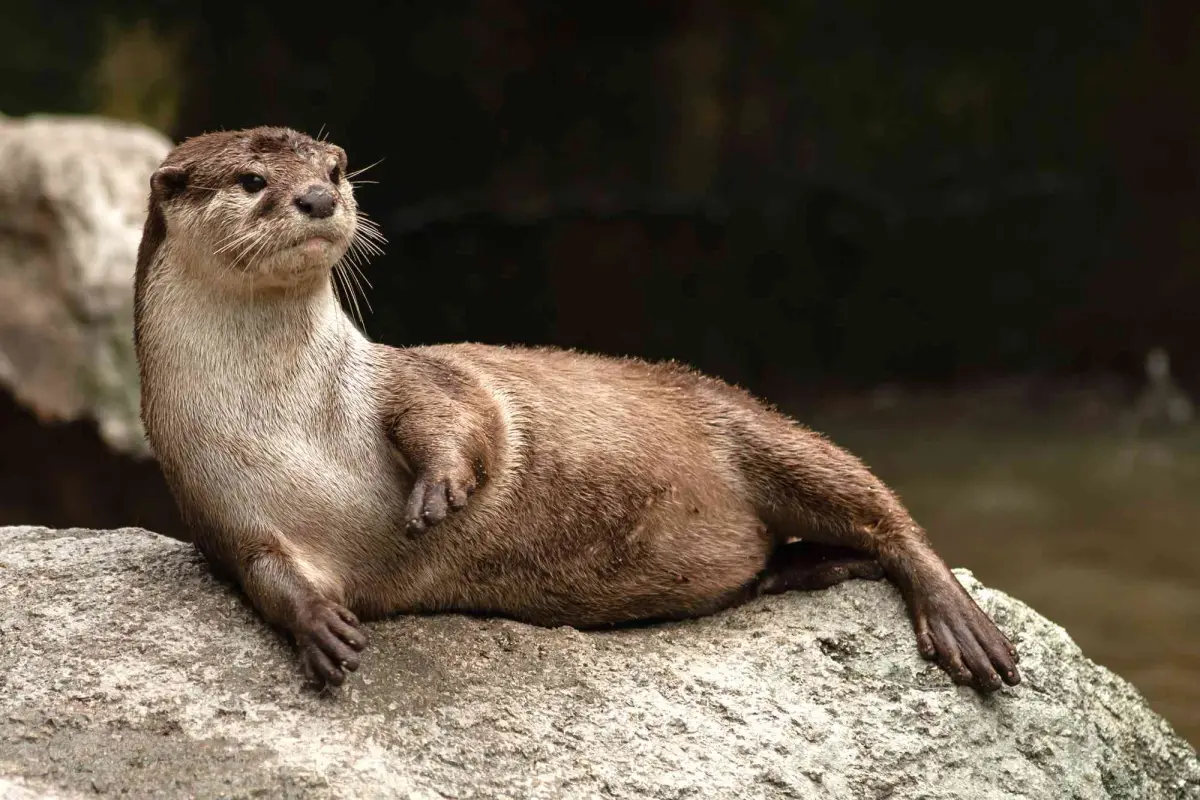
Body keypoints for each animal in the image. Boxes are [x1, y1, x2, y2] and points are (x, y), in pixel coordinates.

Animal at [133, 126, 1020, 694]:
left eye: (338, 167)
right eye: (253, 182)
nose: (318, 197)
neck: (292, 419)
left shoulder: (409, 377)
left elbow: (465, 414)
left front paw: (439, 489)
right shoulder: (216, 500)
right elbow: (264, 573)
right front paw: (321, 629)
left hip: (748, 424)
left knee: (879, 507)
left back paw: (957, 620)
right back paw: (816, 568)